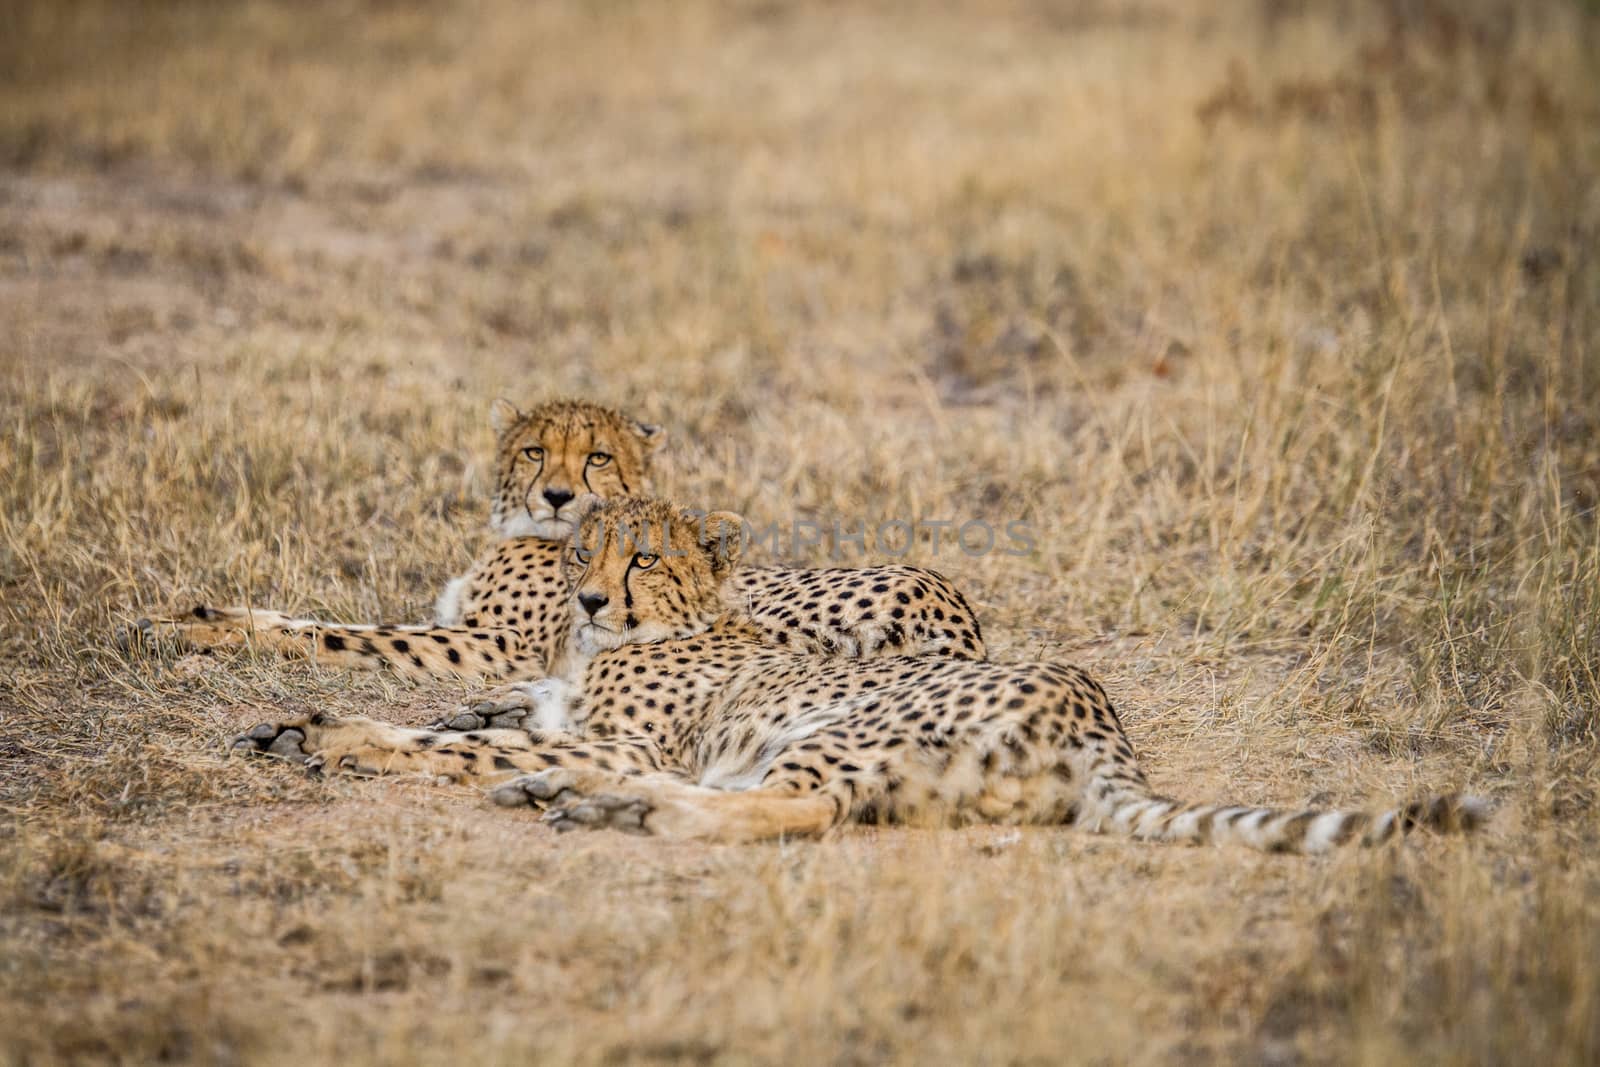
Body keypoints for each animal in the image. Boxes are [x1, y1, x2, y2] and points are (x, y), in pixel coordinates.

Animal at [131, 398, 985, 684]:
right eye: (537, 451)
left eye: (597, 456)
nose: (558, 495)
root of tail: (959, 621)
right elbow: (310, 615)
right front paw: (185, 615)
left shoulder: (499, 646)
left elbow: (344, 634)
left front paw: (191, 633)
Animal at [233, 495, 1484, 857]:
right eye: (584, 549)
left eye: (642, 557)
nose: (586, 599)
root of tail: (1103, 723)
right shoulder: (558, 697)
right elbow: (484, 713)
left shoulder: (616, 728)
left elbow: (454, 737)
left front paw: (330, 733)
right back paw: (575, 798)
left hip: (848, 723)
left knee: (789, 806)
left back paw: (601, 805)